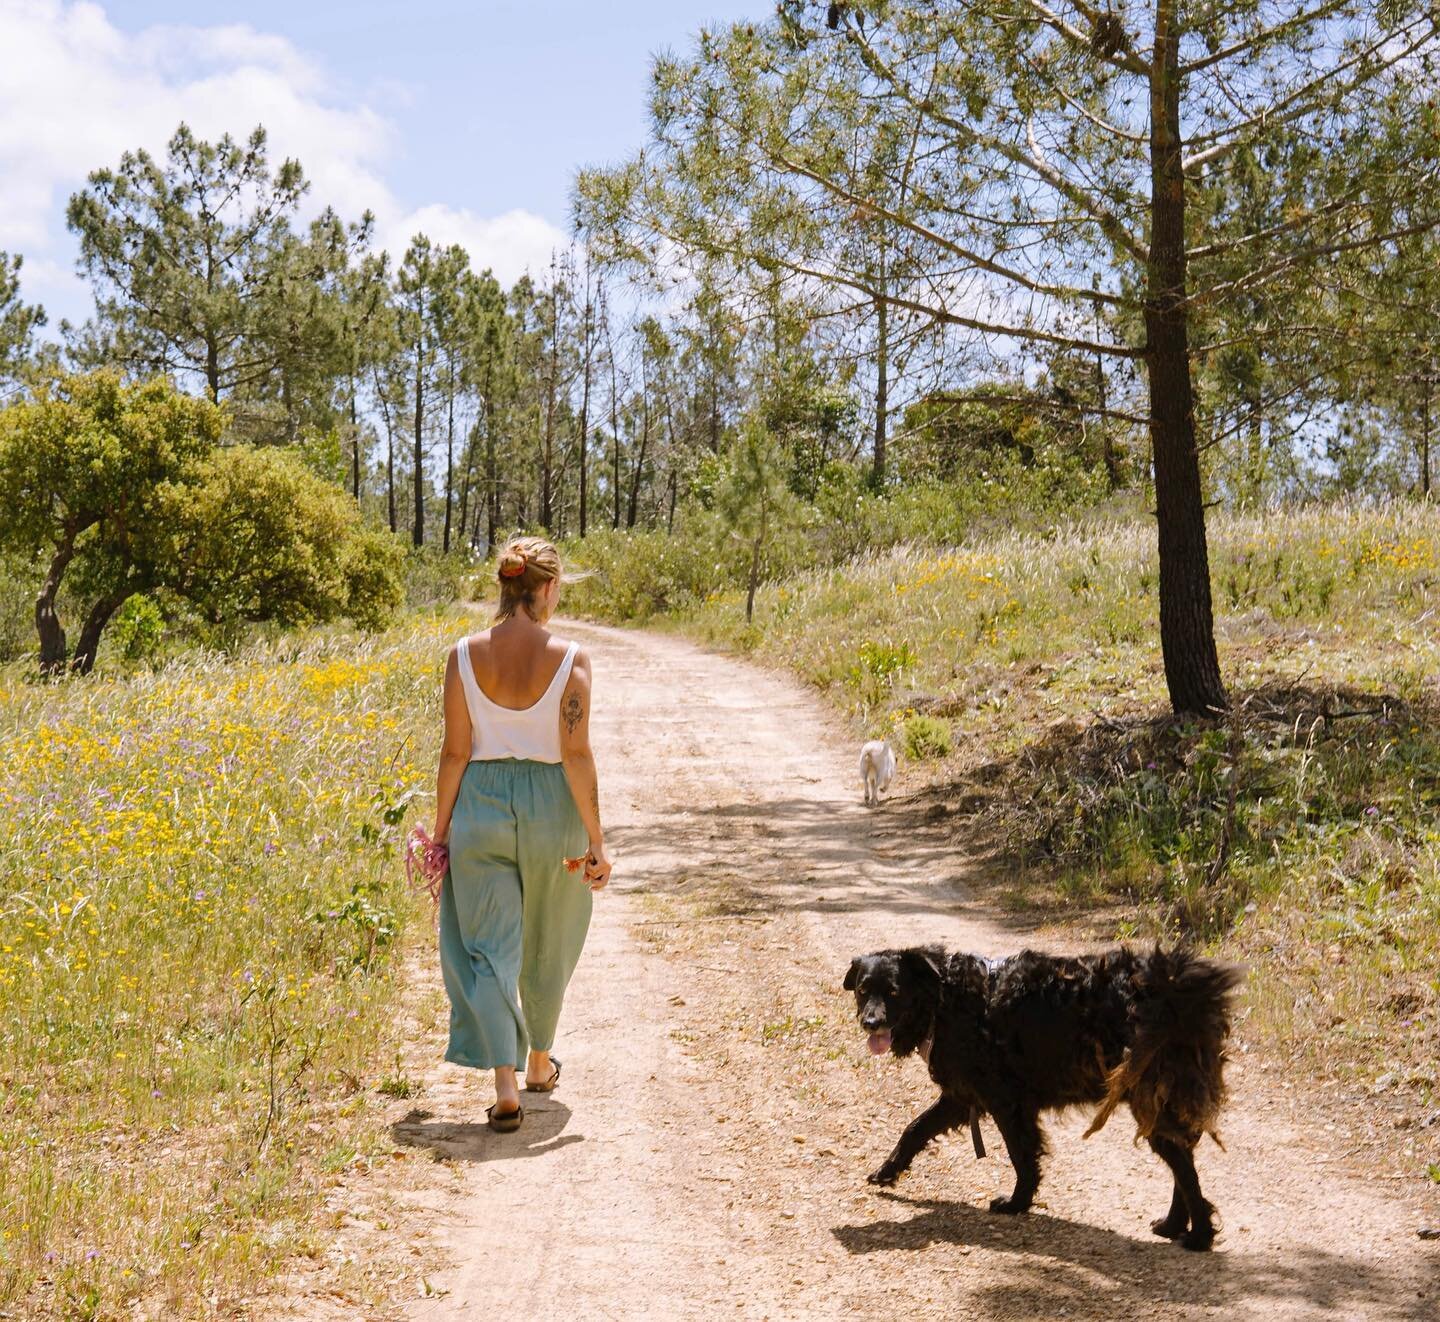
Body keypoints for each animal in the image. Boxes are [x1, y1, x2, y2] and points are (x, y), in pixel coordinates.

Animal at [840, 944, 1249, 1249]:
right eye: (863, 990)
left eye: (893, 992)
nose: (870, 1023)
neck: (944, 999)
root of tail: (1176, 989)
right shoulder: (961, 1095)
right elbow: (914, 1129)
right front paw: (887, 1171)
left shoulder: (1005, 1102)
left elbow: (1021, 1157)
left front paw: (1016, 1203)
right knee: (1183, 1161)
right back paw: (1173, 1225)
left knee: (1184, 1167)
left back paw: (1198, 1237)